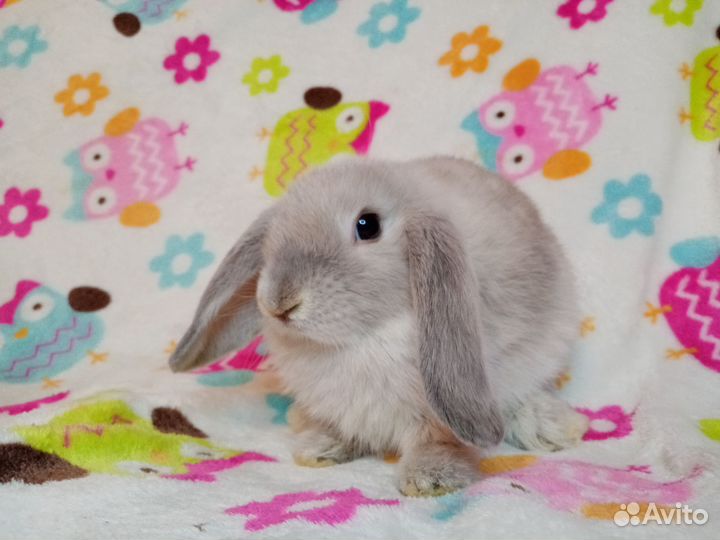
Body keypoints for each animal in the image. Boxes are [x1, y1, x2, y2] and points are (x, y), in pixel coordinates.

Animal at [169, 156, 589, 497]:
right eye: (276, 231)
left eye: (367, 225)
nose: (278, 302)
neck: (361, 339)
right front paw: (320, 447)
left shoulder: (438, 408)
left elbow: (439, 441)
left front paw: (430, 479)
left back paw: (558, 427)